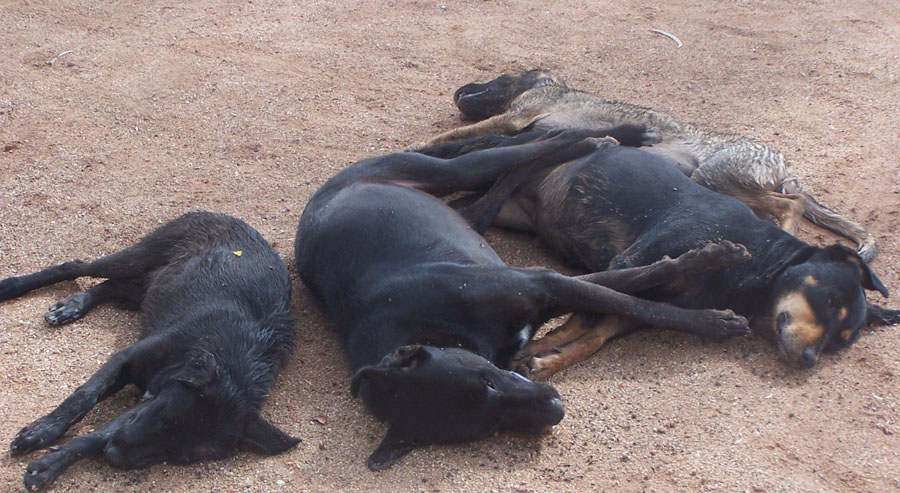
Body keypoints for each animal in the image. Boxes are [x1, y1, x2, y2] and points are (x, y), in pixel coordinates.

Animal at [0, 211, 299, 491]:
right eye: (166, 417)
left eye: (180, 456)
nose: (113, 455)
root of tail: (227, 216)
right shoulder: (127, 361)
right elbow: (84, 397)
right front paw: (42, 431)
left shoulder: (151, 396)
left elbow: (101, 432)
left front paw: (51, 464)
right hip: (138, 256)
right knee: (75, 266)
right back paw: (15, 287)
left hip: (147, 286)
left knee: (111, 286)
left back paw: (75, 304)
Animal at [294, 129, 749, 470]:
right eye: (488, 427)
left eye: (488, 380)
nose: (555, 407)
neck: (437, 327)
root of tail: (322, 193)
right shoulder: (543, 291)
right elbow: (628, 293)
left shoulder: (544, 282)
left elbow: (635, 295)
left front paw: (713, 289)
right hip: (466, 213)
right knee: (507, 177)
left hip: (446, 171)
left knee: (530, 146)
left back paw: (602, 138)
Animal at [418, 69, 877, 262]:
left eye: (499, 77)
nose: (459, 90)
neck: (557, 87)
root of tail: (783, 163)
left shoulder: (517, 117)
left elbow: (453, 138)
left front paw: (425, 148)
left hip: (716, 175)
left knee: (791, 205)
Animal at [419, 134, 898, 378]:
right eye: (828, 299)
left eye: (841, 340)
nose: (810, 360)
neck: (760, 265)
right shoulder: (631, 261)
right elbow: (585, 309)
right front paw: (542, 345)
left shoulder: (642, 303)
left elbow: (599, 330)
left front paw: (550, 357)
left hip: (509, 212)